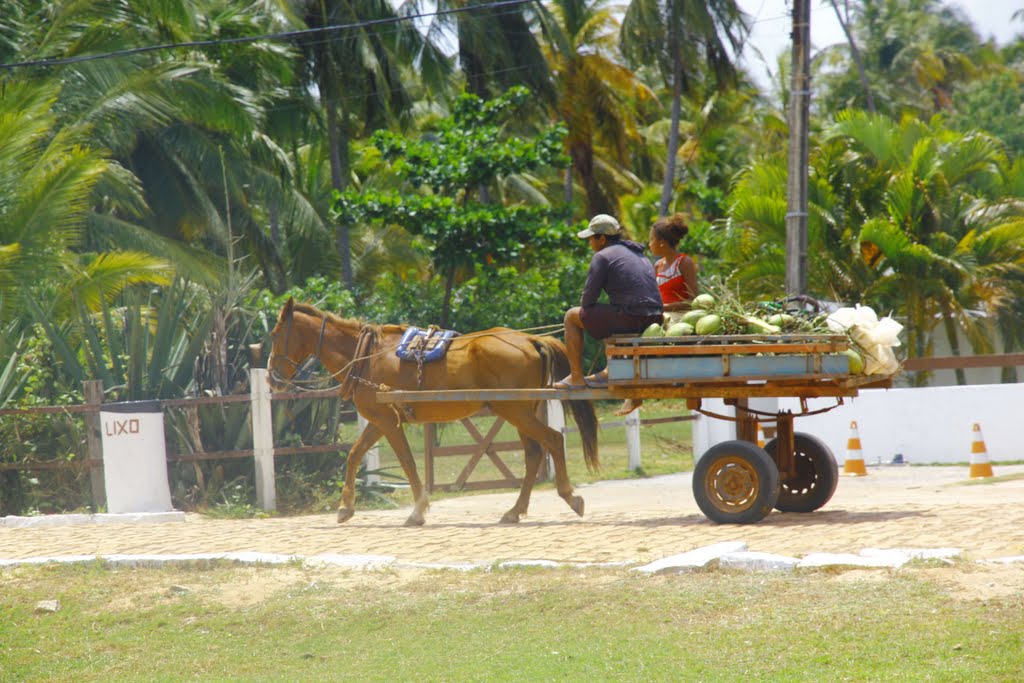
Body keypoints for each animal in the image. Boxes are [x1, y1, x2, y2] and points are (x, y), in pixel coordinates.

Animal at [266, 296, 598, 528]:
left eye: (275, 333)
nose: (271, 377)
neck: (366, 356)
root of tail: (530, 338)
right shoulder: (379, 420)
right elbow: (354, 455)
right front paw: (346, 507)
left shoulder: (387, 421)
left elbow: (407, 463)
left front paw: (417, 511)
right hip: (521, 410)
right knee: (533, 454)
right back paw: (514, 511)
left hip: (516, 410)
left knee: (553, 440)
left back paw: (570, 497)